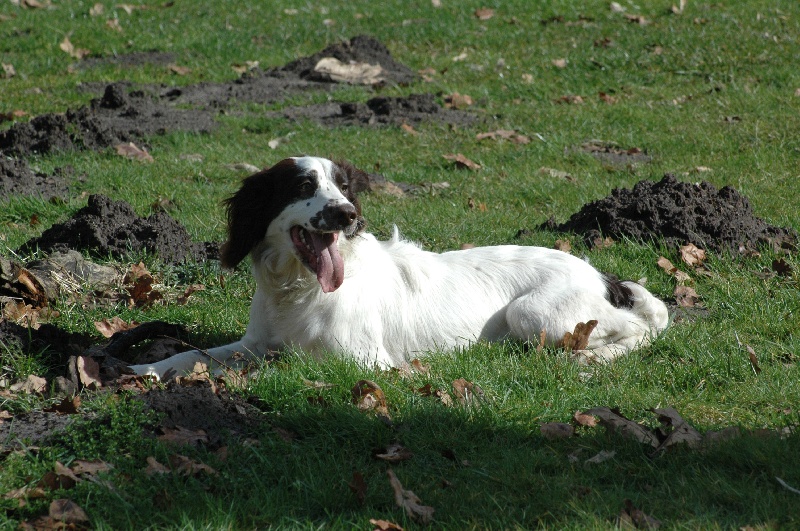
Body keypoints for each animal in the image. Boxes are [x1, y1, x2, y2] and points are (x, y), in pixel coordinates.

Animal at [131, 156, 668, 380]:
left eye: (345, 187)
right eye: (304, 186)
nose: (348, 214)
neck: (299, 290)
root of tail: (603, 276)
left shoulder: (364, 361)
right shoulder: (255, 342)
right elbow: (194, 355)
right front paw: (145, 369)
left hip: (535, 315)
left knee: (643, 329)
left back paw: (593, 359)